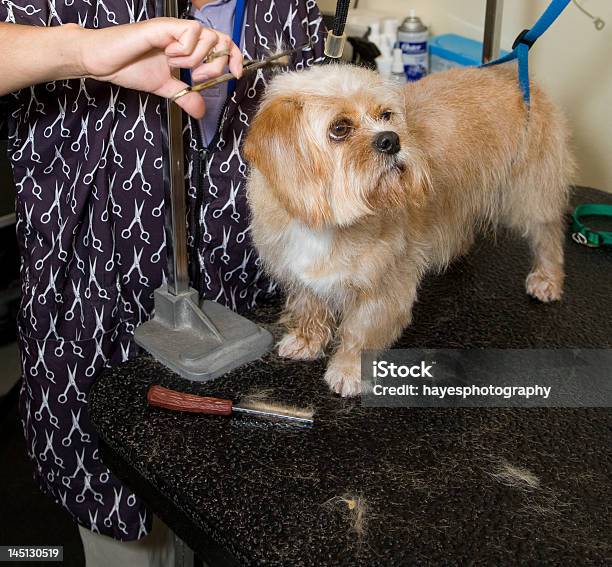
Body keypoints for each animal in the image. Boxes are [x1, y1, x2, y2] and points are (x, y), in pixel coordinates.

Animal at [241, 64, 572, 398]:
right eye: (340, 128)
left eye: (386, 115)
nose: (390, 139)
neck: (329, 222)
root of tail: (513, 72)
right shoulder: (298, 275)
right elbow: (309, 307)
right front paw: (306, 341)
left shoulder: (382, 289)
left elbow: (360, 332)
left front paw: (349, 371)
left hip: (530, 195)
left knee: (548, 236)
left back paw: (547, 279)